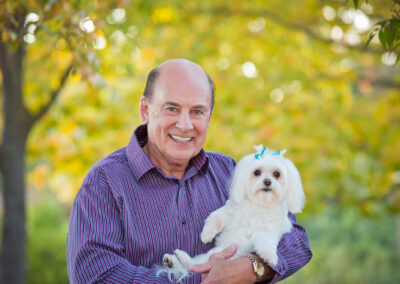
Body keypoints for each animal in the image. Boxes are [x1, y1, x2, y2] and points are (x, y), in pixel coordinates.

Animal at [158, 146, 304, 282]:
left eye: (276, 174)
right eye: (257, 172)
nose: (267, 181)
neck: (258, 204)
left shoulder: (268, 230)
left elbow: (267, 242)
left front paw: (270, 257)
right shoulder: (228, 214)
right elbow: (215, 219)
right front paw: (206, 235)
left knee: (191, 266)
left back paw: (174, 261)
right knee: (192, 264)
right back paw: (174, 260)